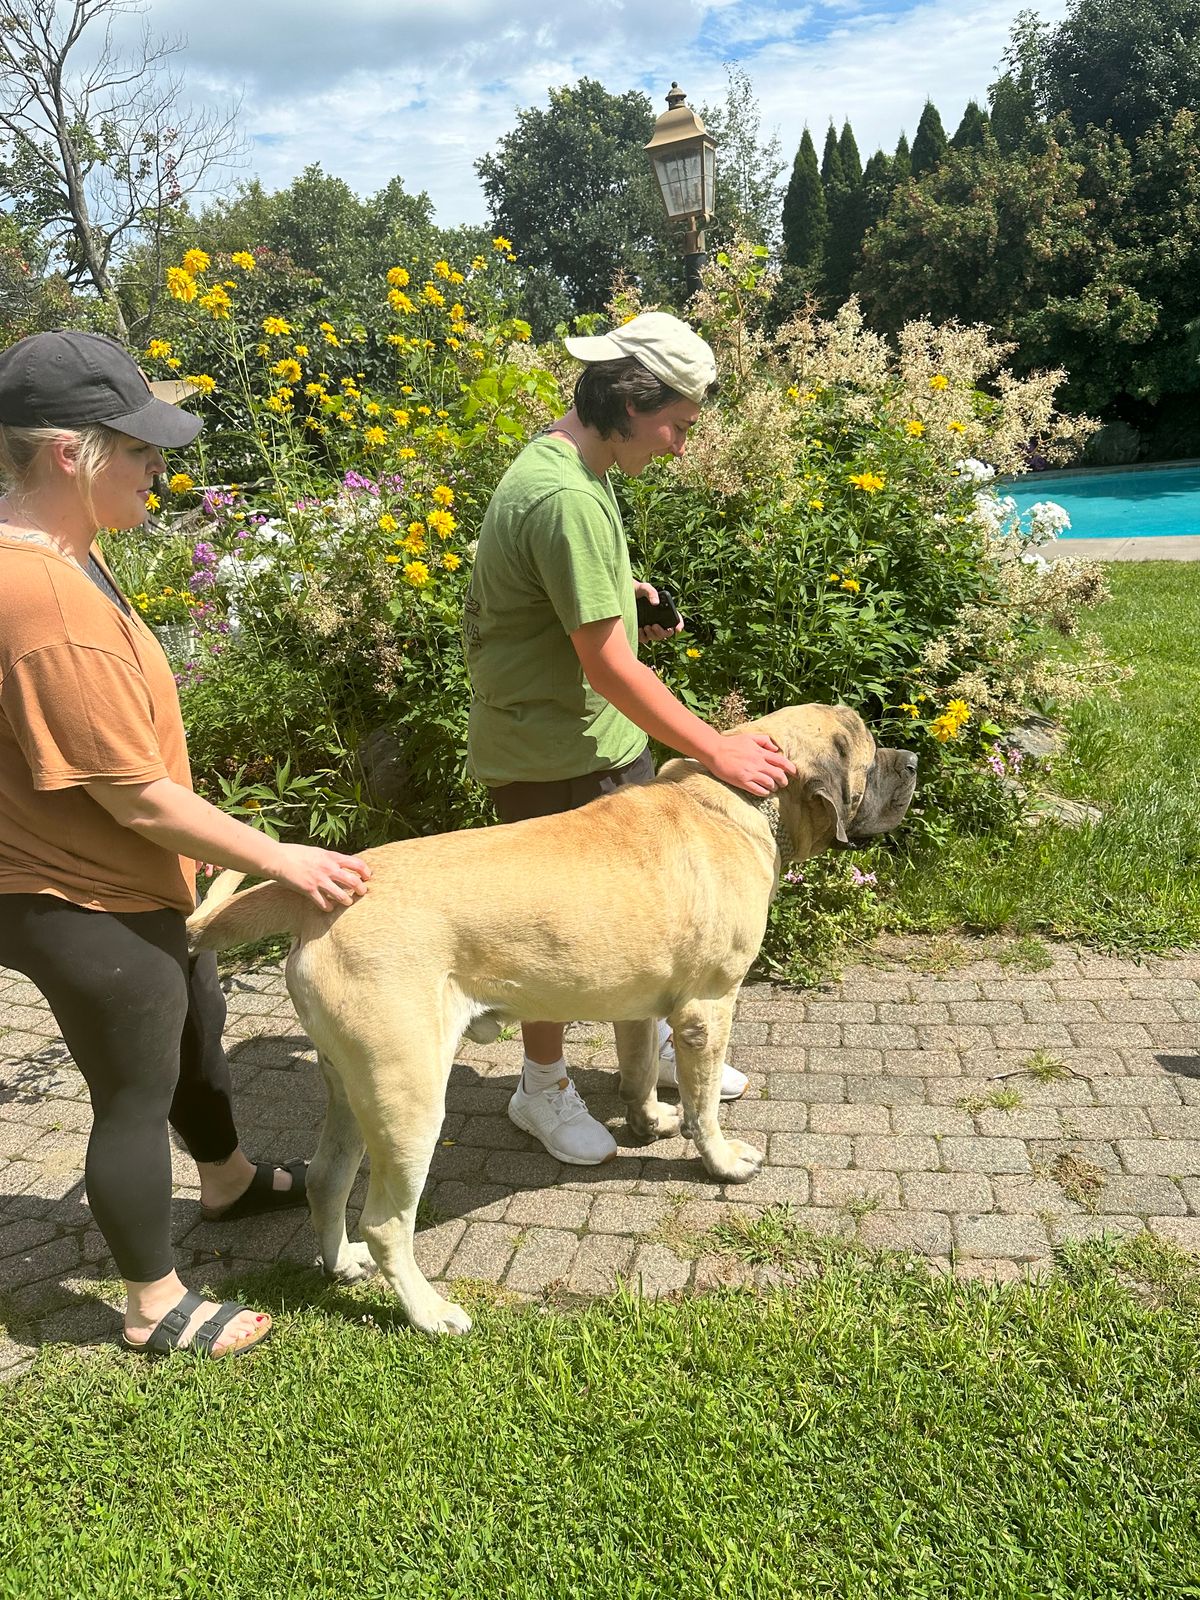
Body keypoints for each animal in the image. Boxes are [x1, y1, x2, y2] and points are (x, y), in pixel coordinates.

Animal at [188, 704, 917, 1334]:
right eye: (869, 745)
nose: (912, 759)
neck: (738, 798)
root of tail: (323, 894)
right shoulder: (708, 1008)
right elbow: (705, 1103)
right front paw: (721, 1159)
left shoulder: (637, 1002)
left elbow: (639, 1067)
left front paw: (648, 1122)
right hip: (407, 1095)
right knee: (387, 1221)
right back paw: (430, 1313)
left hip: (349, 1085)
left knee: (325, 1179)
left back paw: (341, 1264)